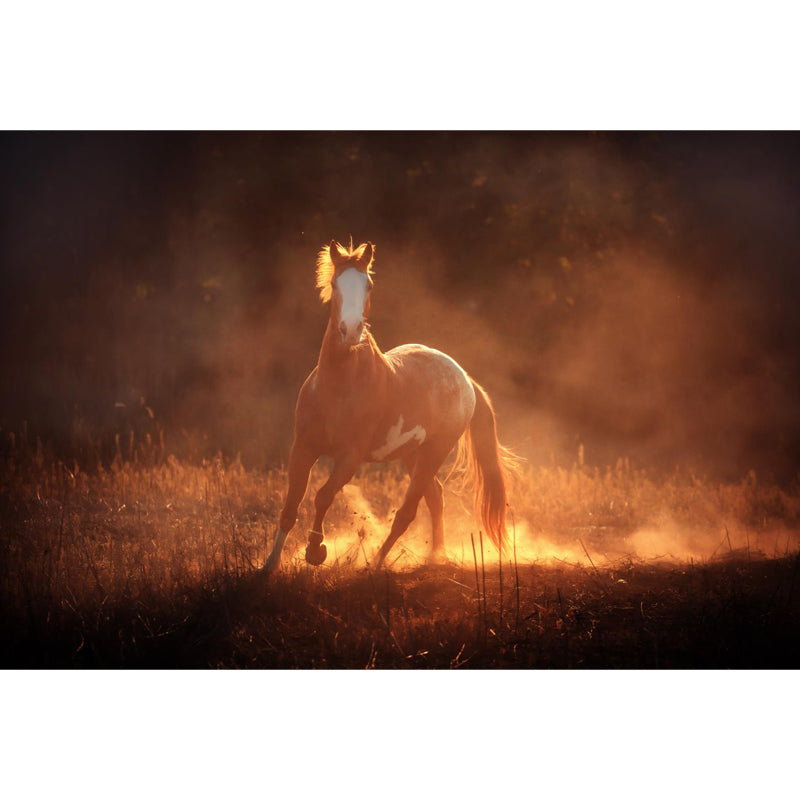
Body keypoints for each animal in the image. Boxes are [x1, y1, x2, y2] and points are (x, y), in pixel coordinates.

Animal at [262, 239, 516, 573]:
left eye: (368, 285)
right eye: (334, 283)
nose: (351, 329)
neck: (338, 387)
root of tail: (464, 378)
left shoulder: (350, 457)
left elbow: (322, 496)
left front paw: (316, 551)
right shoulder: (303, 447)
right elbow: (291, 504)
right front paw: (268, 566)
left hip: (436, 451)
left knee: (408, 512)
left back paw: (374, 563)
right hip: (412, 454)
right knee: (435, 497)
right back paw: (434, 557)